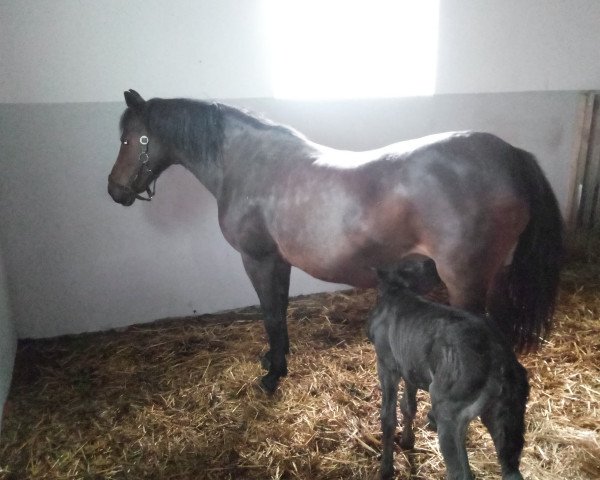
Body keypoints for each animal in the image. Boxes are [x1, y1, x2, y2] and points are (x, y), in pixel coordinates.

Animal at [108, 89, 564, 390]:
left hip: (466, 283)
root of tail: (512, 155)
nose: (115, 190)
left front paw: (272, 376)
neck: (248, 163)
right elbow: (279, 313)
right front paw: (277, 360)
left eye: (129, 139)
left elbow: (270, 315)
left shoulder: (258, 259)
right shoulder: (279, 261)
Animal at [368, 258, 528, 480]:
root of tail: (500, 360)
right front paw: (408, 441)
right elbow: (408, 406)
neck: (399, 293)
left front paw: (386, 468)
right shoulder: (410, 367)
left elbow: (388, 417)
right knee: (510, 470)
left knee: (460, 472)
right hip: (505, 416)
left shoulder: (387, 365)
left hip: (449, 414)